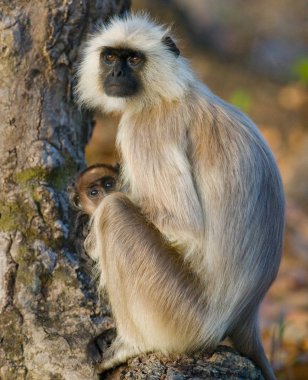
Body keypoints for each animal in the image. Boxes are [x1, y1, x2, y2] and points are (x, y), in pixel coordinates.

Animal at [76, 13, 286, 378]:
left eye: (133, 59)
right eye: (110, 57)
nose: (116, 74)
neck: (169, 93)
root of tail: (247, 317)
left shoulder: (145, 128)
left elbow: (183, 225)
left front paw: (90, 239)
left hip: (178, 315)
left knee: (115, 212)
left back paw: (132, 344)